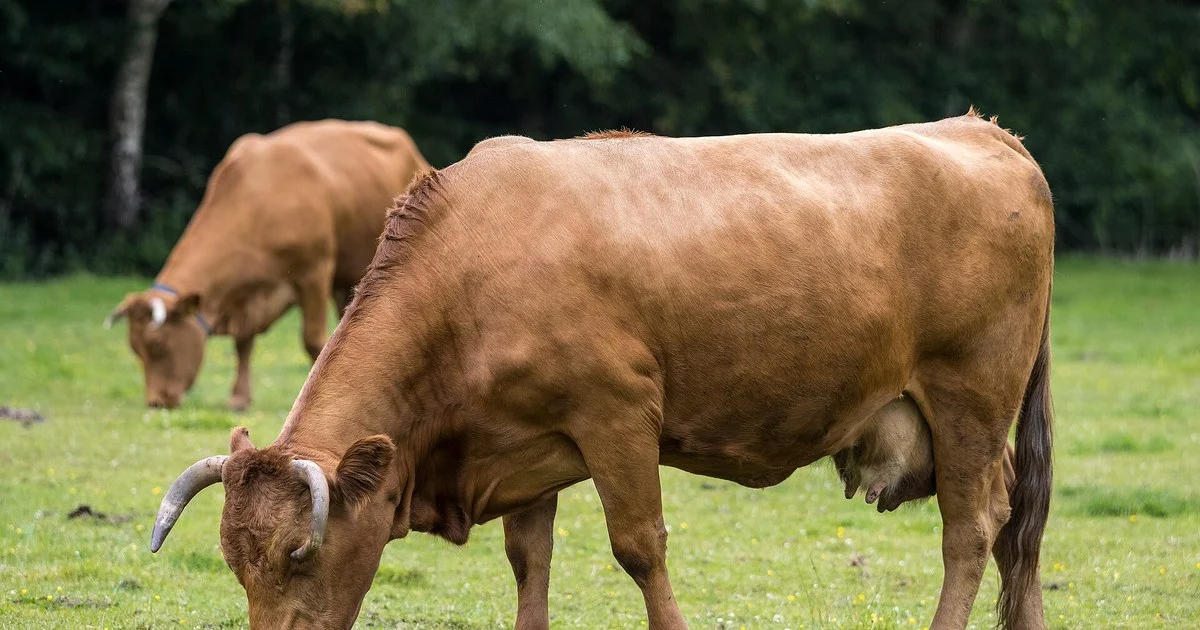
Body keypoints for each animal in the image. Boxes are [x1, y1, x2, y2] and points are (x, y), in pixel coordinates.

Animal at [105, 119, 430, 410]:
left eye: (158, 346)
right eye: (135, 349)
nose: (156, 402)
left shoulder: (315, 272)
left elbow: (314, 341)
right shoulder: (244, 297)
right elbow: (243, 343)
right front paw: (239, 398)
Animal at [149, 110, 1055, 630]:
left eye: (300, 554)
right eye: (235, 561)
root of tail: (985, 130)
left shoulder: (617, 416)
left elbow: (640, 548)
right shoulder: (519, 440)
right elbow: (530, 560)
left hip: (970, 399)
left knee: (973, 529)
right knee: (1016, 520)